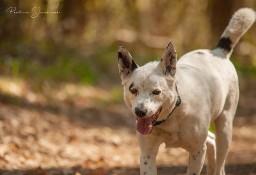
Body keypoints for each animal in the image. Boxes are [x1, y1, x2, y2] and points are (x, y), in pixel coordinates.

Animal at [117, 8, 255, 175]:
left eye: (156, 92)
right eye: (133, 90)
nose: (140, 111)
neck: (173, 113)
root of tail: (218, 52)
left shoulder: (197, 151)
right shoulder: (147, 153)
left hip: (225, 127)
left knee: (220, 158)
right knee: (211, 139)